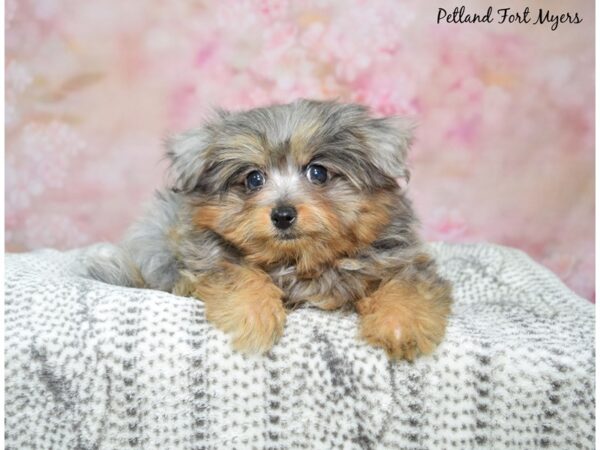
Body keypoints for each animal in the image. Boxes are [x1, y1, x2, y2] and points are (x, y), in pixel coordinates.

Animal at [86, 100, 452, 360]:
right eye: (253, 179)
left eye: (318, 172)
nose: (282, 215)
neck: (297, 261)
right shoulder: (206, 254)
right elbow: (237, 272)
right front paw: (254, 315)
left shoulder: (400, 257)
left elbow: (407, 284)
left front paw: (400, 325)